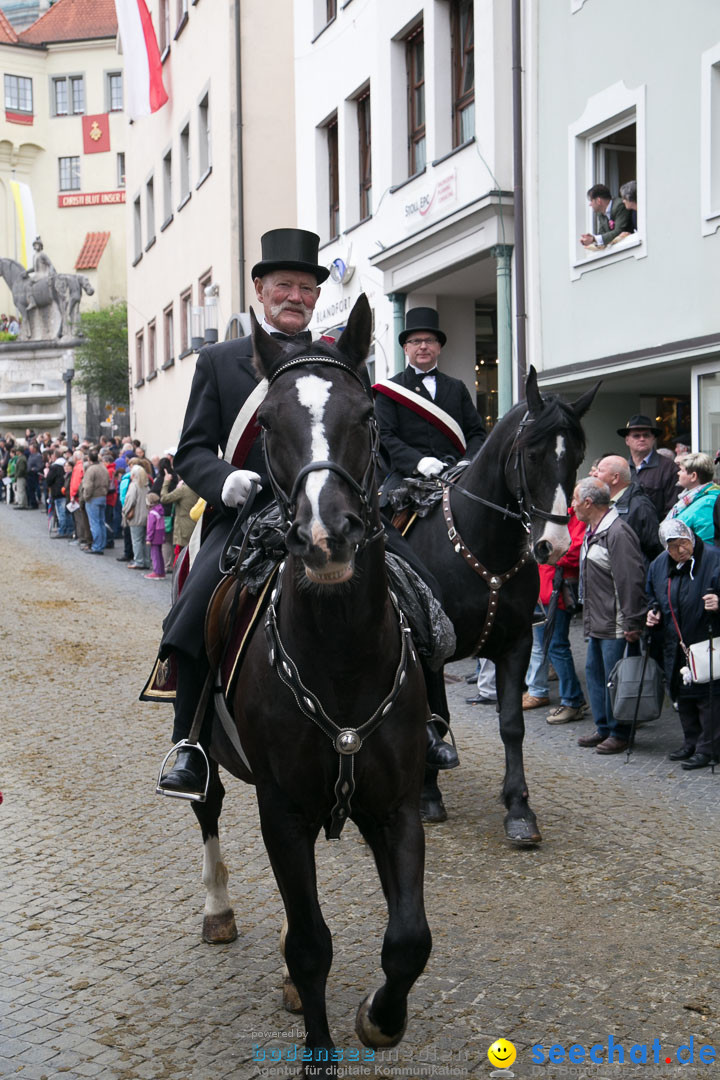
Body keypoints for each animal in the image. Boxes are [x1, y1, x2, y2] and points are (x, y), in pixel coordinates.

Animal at [188, 293, 431, 1071]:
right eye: (267, 422)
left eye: (368, 416)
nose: (326, 538)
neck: (342, 656)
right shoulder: (283, 810)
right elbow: (311, 943)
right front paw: (321, 1047)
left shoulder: (396, 805)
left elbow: (408, 939)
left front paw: (380, 1019)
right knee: (206, 807)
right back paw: (218, 910)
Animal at [405, 371, 595, 842]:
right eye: (532, 453)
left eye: (577, 456)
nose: (553, 546)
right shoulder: (429, 650)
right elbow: (433, 713)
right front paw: (428, 795)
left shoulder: (517, 643)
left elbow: (511, 724)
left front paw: (519, 808)